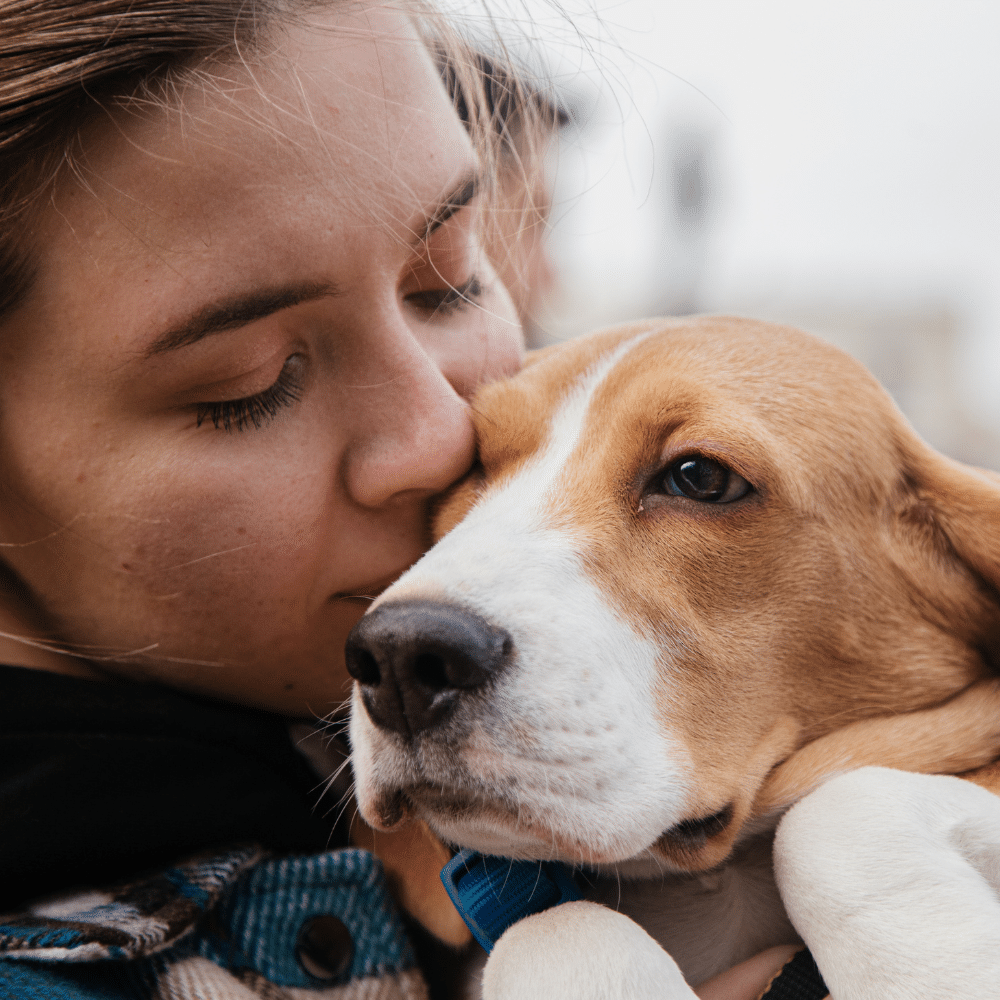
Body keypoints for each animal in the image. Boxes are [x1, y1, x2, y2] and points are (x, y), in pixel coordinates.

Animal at [344, 320, 1000, 1000]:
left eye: (700, 477)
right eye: (475, 463)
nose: (401, 656)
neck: (709, 880)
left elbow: (836, 813)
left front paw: (936, 972)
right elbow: (556, 925)